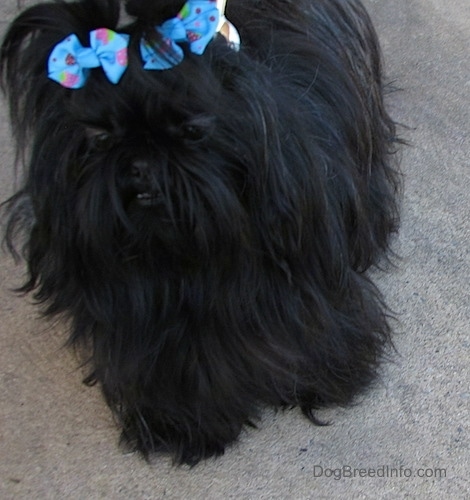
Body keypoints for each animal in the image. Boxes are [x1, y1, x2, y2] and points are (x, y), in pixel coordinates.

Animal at [0, 0, 400, 464]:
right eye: (99, 137)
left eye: (192, 129)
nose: (140, 163)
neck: (190, 263)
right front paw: (181, 425)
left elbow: (314, 332)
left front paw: (327, 377)